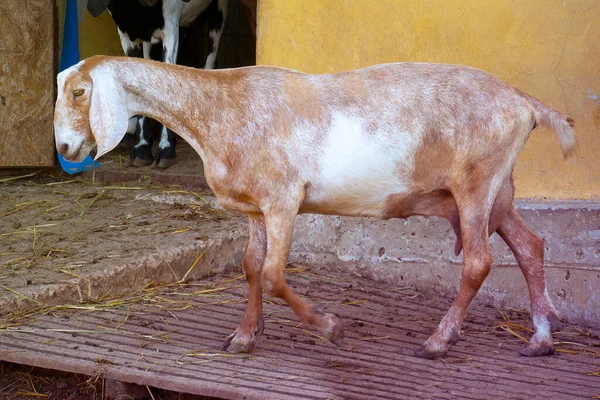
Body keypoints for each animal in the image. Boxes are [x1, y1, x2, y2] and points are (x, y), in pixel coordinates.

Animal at [55, 56, 576, 360]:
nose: (65, 147)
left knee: (478, 262)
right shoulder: (255, 208)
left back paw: (437, 341)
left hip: (476, 185)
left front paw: (330, 328)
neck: (220, 107)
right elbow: (250, 266)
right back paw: (540, 339)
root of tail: (523, 102)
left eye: (80, 92)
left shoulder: (283, 198)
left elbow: (272, 274)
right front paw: (244, 335)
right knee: (531, 246)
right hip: (499, 191)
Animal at [88, 0, 229, 168]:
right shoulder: (127, 35)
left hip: (218, 12)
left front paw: (166, 149)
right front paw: (141, 148)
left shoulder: (170, 27)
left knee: (210, 59)